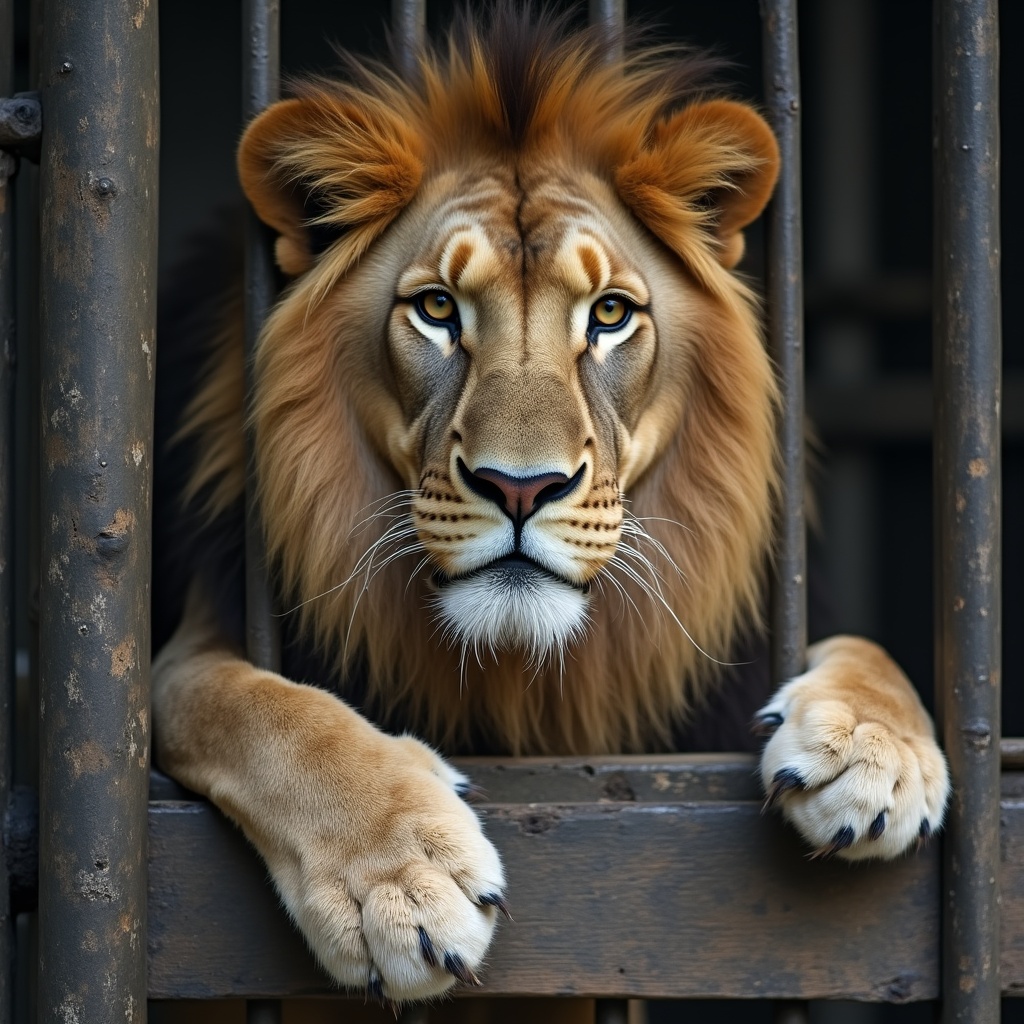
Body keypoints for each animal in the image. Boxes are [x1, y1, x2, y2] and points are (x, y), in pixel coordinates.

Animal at [152, 5, 950, 1007]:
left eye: (609, 314)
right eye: (437, 309)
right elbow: (261, 709)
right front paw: (402, 881)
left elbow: (867, 648)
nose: (521, 488)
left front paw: (877, 749)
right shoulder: (193, 649)